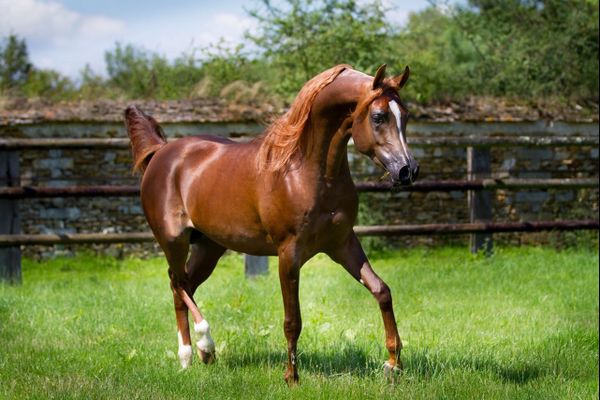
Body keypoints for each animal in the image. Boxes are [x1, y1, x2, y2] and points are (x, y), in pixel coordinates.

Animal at [125, 63, 420, 384]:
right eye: (378, 116)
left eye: (405, 115)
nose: (407, 170)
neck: (305, 172)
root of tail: (162, 151)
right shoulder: (288, 254)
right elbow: (293, 320)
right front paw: (291, 377)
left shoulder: (342, 244)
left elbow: (382, 291)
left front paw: (393, 364)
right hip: (173, 240)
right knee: (177, 283)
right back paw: (196, 349)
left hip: (209, 247)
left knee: (185, 286)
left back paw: (198, 355)